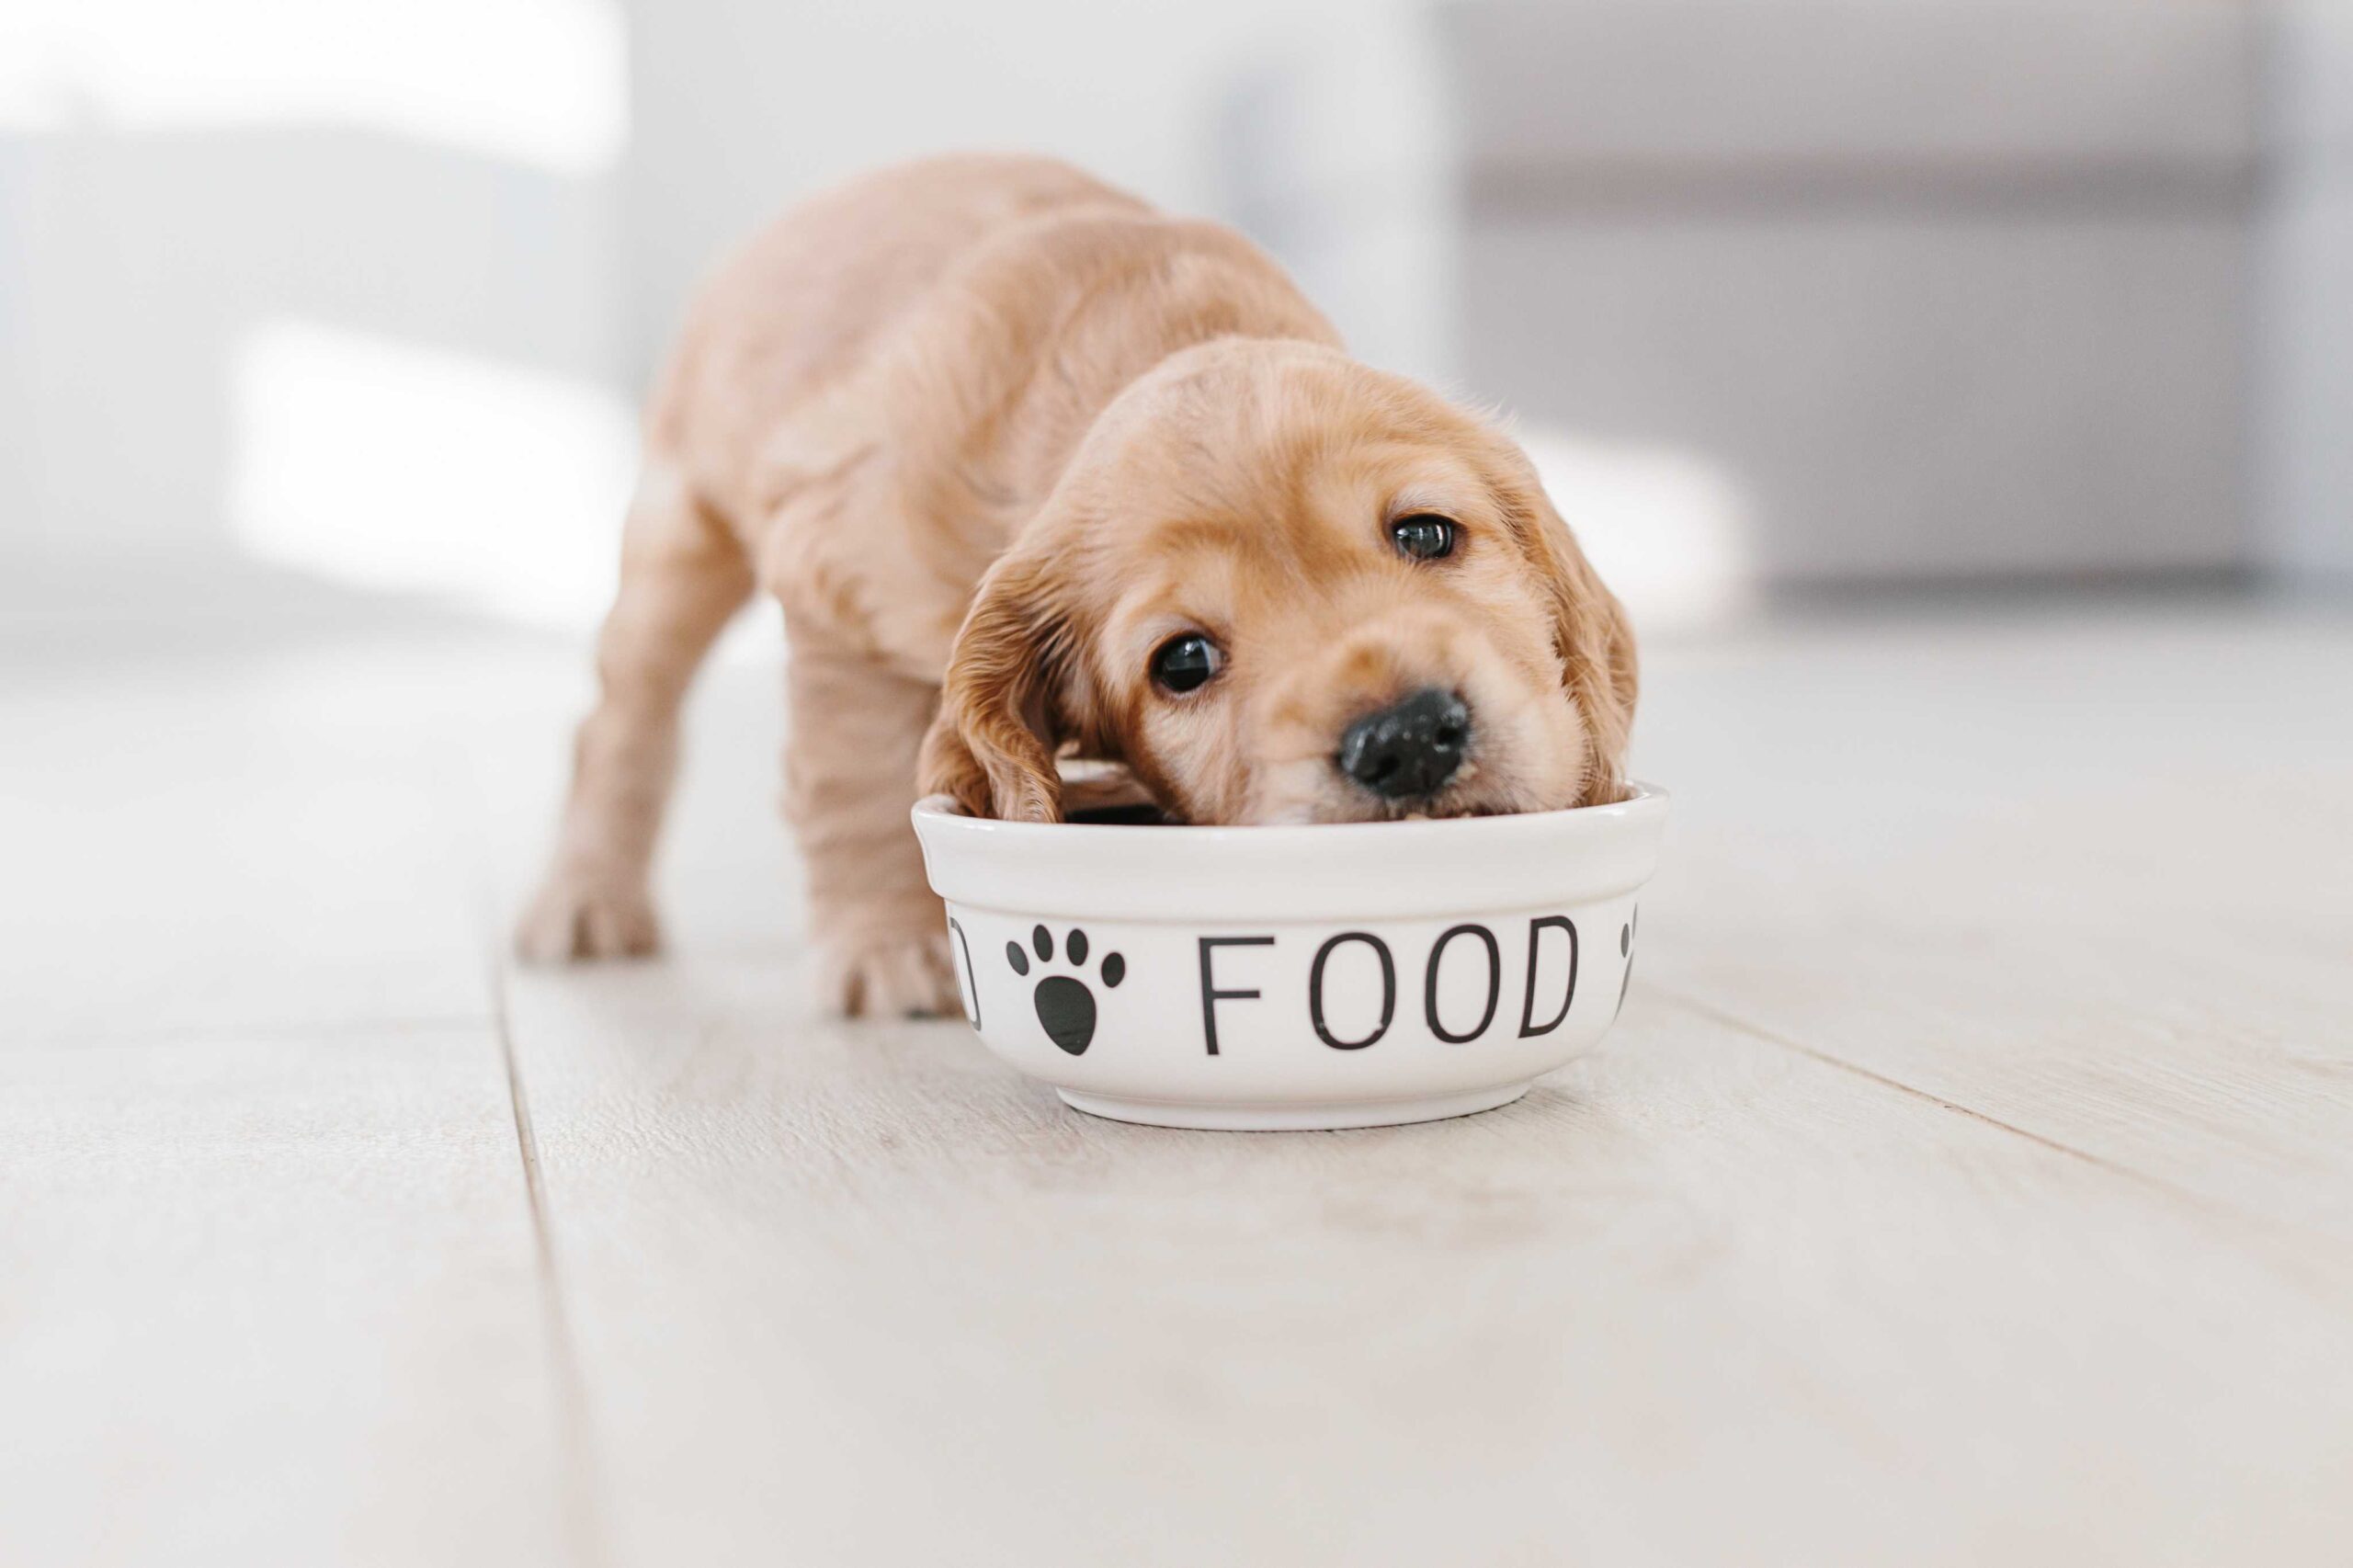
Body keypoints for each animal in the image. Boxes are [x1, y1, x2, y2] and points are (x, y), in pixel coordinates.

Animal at [527, 155, 1647, 1012]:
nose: (1407, 738)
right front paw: (888, 948)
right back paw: (585, 902)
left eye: (1425, 532)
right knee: (619, 720)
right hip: (680, 532)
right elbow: (855, 780)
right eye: (1183, 661)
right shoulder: (836, 582)